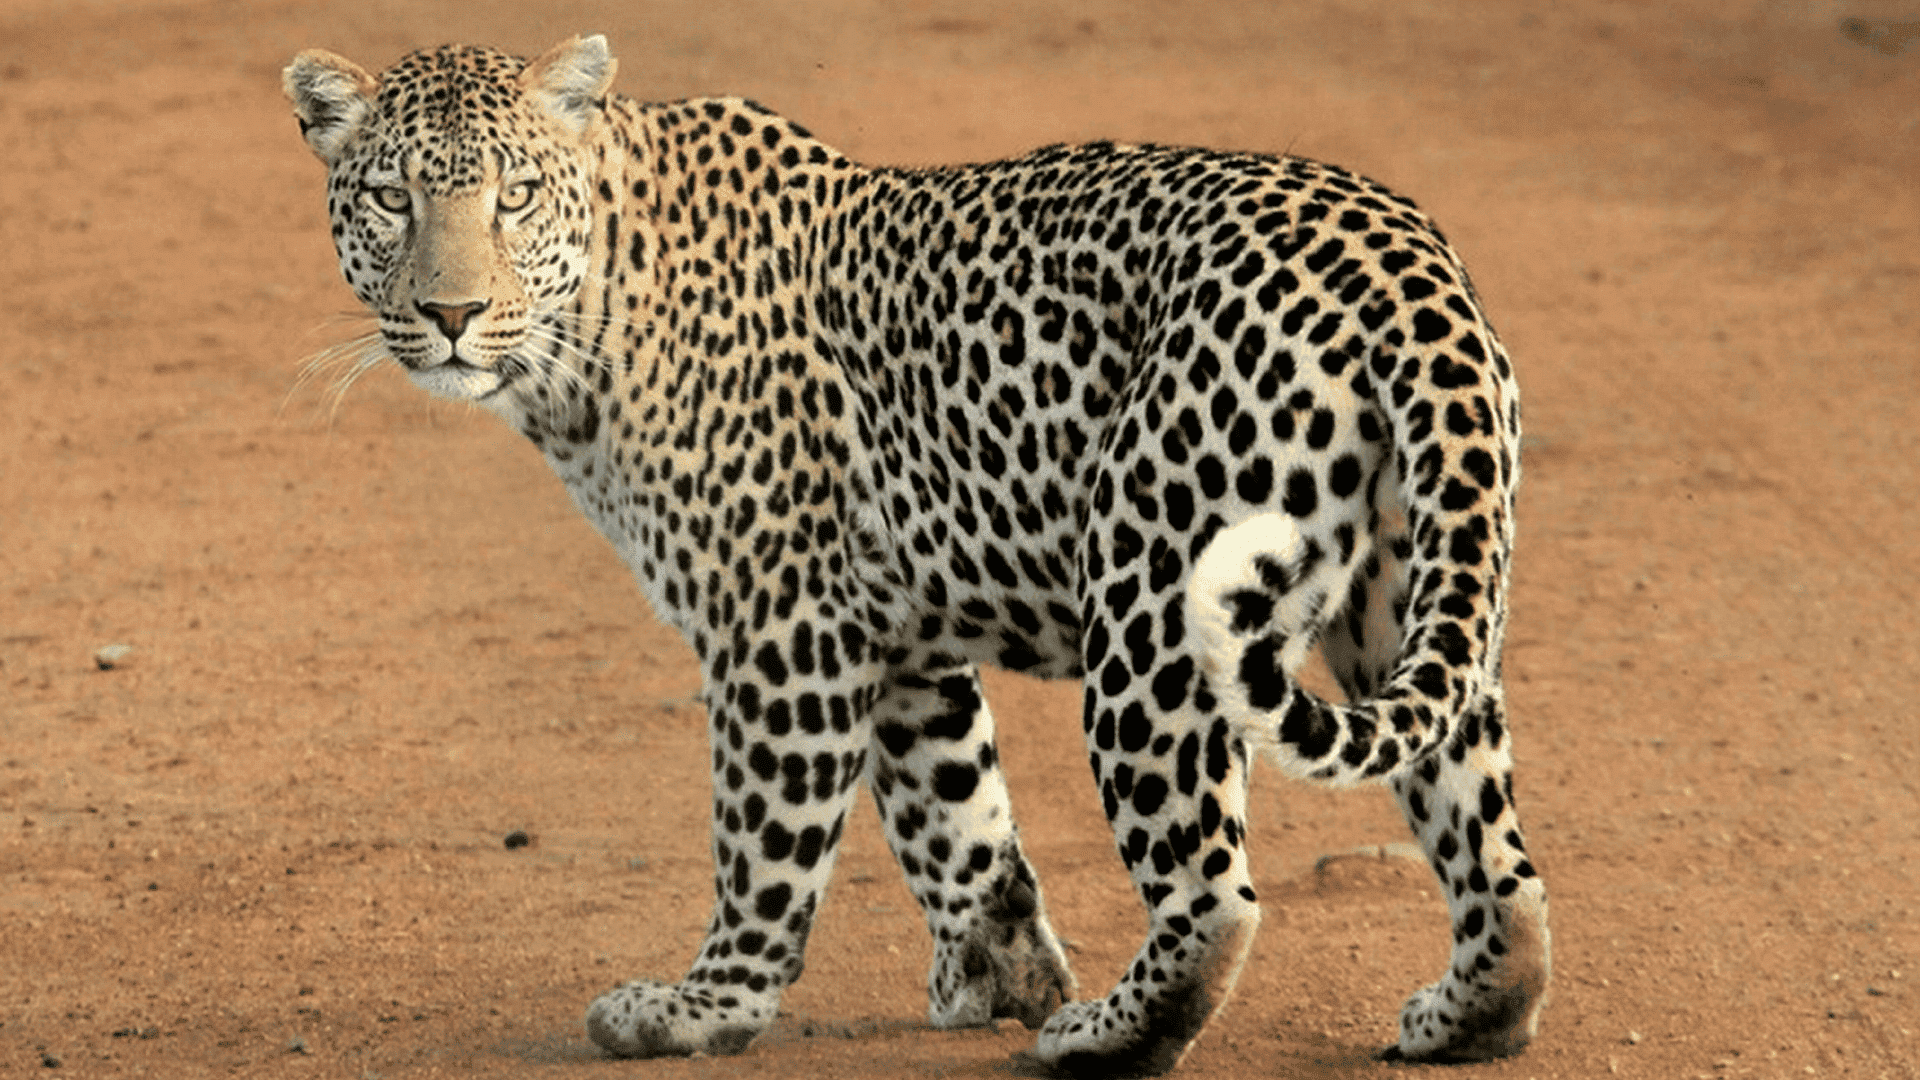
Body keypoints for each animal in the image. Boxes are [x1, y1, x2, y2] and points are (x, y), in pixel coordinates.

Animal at [284, 34, 1551, 1076]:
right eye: (392, 198)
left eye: (515, 197)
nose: (452, 315)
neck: (591, 320)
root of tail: (1401, 263)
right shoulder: (894, 634)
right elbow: (958, 816)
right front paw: (1000, 970)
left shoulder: (782, 626)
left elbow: (766, 841)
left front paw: (705, 1008)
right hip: (1410, 593)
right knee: (1494, 852)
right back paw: (1466, 1016)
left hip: (1152, 602)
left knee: (1213, 894)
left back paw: (1101, 1037)